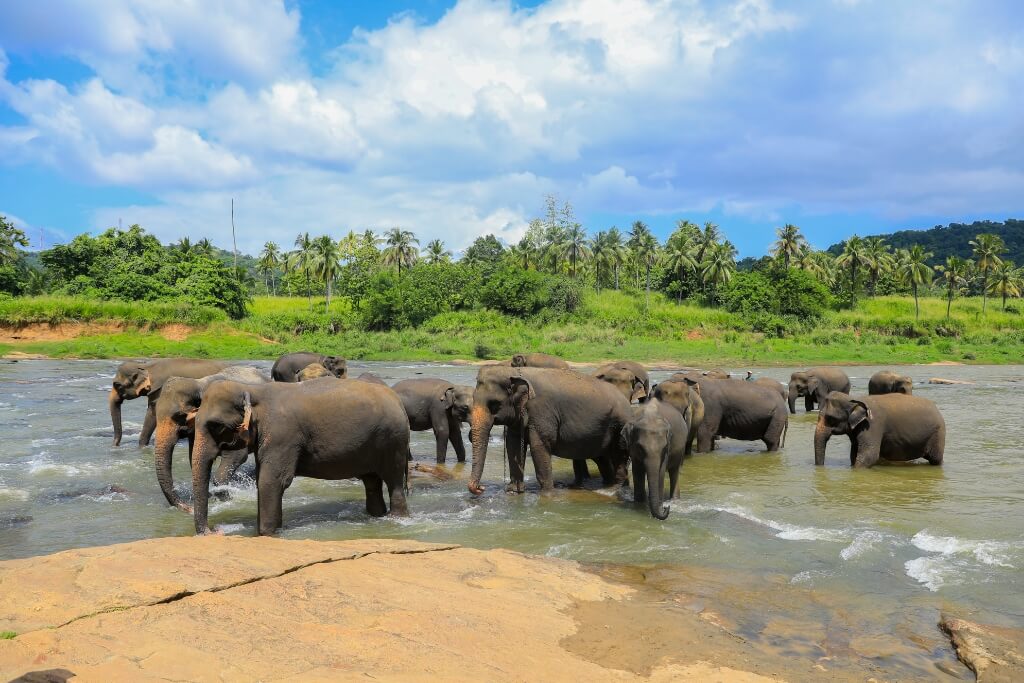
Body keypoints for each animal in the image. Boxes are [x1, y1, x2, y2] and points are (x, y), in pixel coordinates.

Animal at [154, 366, 271, 512]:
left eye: (179, 416)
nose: (189, 508)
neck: (199, 383)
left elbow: (237, 455)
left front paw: (226, 498)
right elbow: (194, 457)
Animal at [190, 377, 410, 535]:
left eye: (217, 426)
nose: (213, 531)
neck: (253, 390)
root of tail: (398, 400)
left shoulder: (283, 436)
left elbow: (271, 481)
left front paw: (266, 534)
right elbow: (264, 480)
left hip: (393, 442)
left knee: (394, 482)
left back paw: (396, 519)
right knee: (371, 482)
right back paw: (377, 517)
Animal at [467, 366, 630, 494]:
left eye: (494, 404)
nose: (481, 488)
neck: (516, 372)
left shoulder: (541, 411)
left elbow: (539, 446)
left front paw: (548, 495)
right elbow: (513, 445)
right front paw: (513, 491)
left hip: (619, 425)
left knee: (618, 454)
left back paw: (611, 489)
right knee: (602, 458)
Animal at [814, 392, 945, 467]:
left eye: (831, 418)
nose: (820, 468)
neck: (854, 399)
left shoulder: (872, 425)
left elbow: (869, 455)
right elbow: (854, 453)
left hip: (938, 434)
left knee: (935, 460)